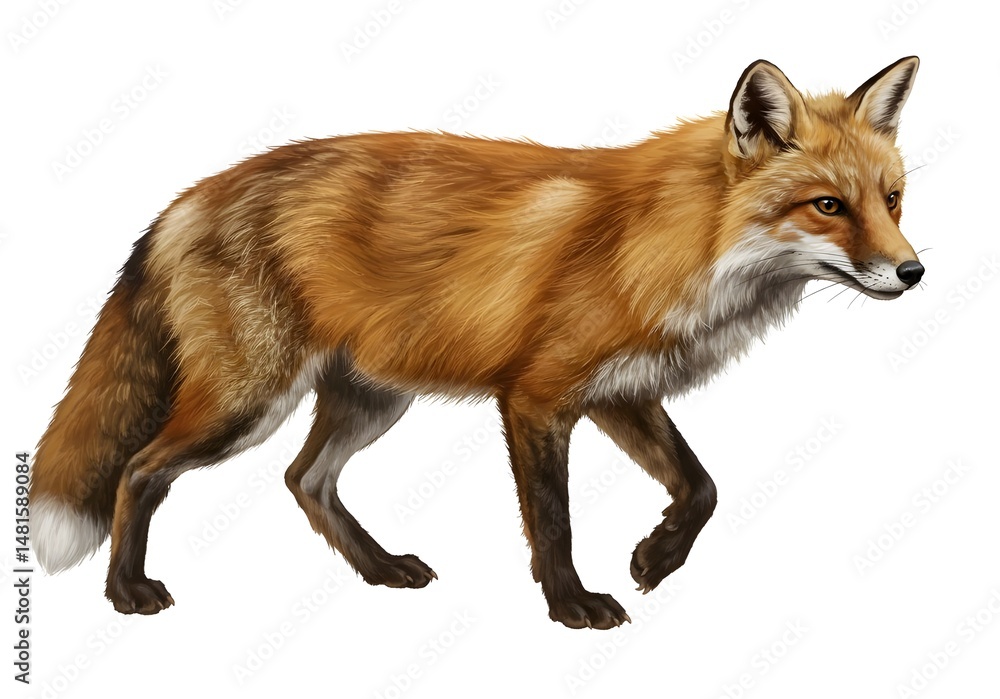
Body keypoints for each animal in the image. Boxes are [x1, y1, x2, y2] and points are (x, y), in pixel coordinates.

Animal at [31, 57, 923, 629]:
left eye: (892, 199)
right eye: (828, 206)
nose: (914, 272)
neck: (670, 241)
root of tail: (188, 196)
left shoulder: (622, 390)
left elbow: (701, 487)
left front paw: (655, 558)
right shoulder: (535, 396)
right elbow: (554, 520)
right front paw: (572, 605)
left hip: (370, 399)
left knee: (304, 479)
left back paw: (381, 569)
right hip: (247, 403)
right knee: (140, 468)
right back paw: (127, 590)